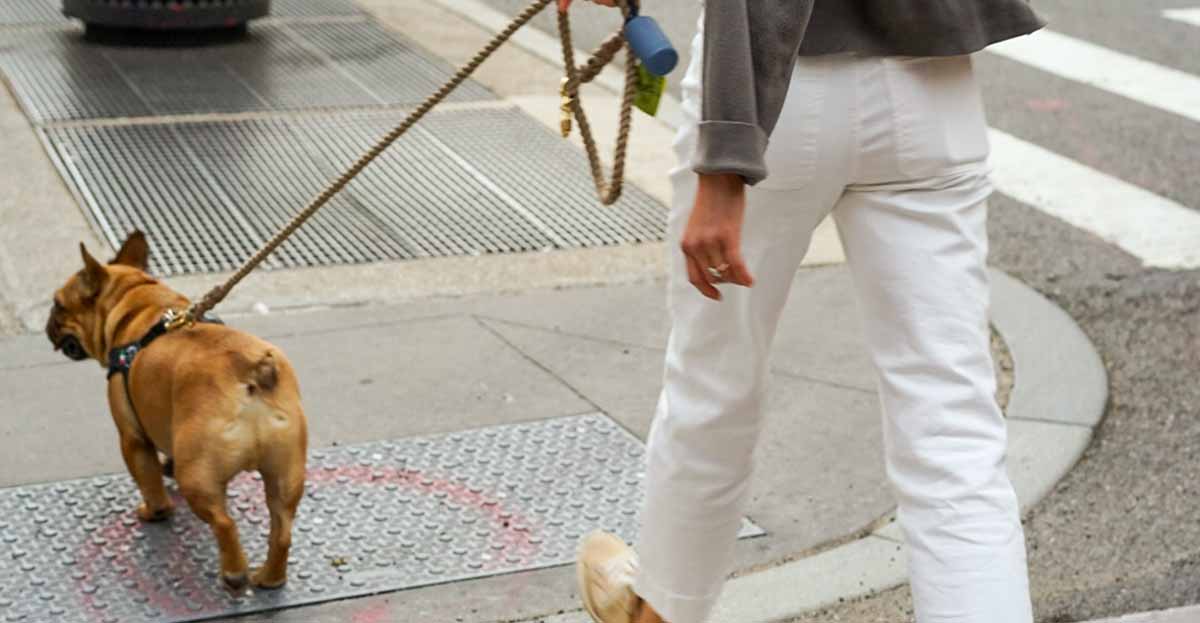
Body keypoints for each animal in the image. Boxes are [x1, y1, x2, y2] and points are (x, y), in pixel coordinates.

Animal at [45, 230, 309, 590]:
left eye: (58, 304)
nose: (48, 324)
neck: (138, 305)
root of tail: (252, 370)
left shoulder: (132, 437)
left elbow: (149, 479)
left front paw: (153, 511)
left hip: (197, 476)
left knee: (224, 522)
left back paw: (234, 573)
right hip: (286, 472)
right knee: (282, 530)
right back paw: (269, 578)